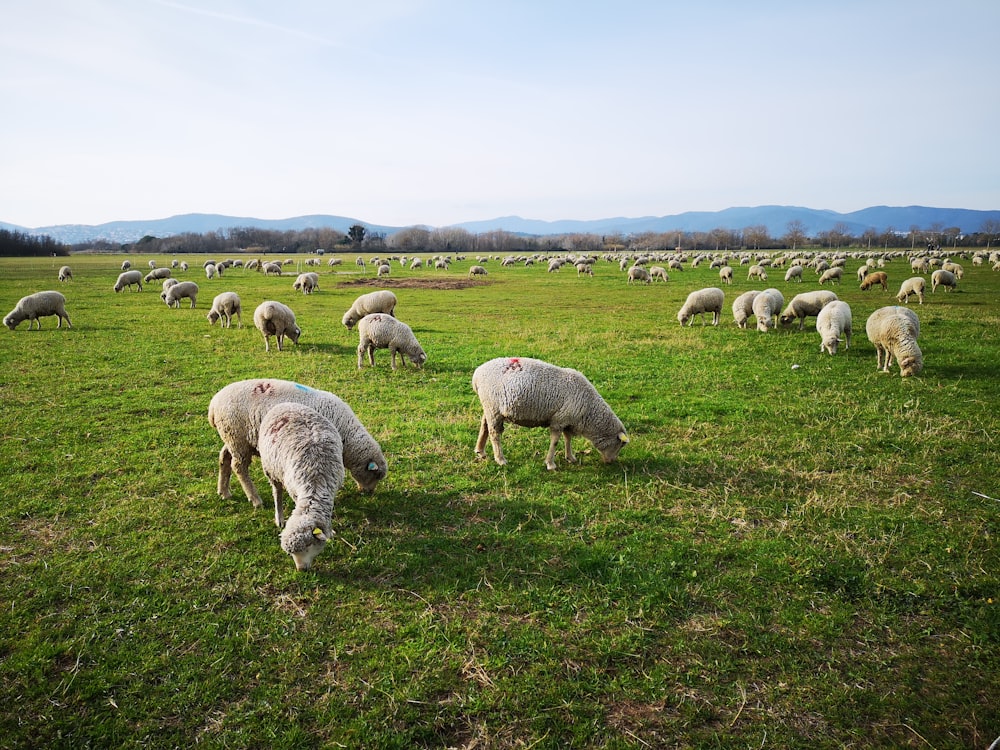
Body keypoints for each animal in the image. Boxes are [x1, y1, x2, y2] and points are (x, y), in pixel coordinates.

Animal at [207, 376, 386, 506]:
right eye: (375, 475)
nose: (369, 493)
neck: (346, 435)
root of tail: (213, 407)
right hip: (237, 438)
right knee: (239, 467)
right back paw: (255, 499)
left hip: (234, 439)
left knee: (224, 457)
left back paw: (224, 492)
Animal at [256, 406, 346, 568]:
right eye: (291, 554)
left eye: (310, 545)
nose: (301, 569)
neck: (316, 483)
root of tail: (283, 404)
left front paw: (331, 531)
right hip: (271, 470)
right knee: (277, 493)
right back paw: (279, 518)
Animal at [472, 356, 628, 472]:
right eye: (620, 445)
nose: (611, 462)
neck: (589, 411)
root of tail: (477, 375)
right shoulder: (558, 421)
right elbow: (555, 442)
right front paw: (550, 464)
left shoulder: (567, 420)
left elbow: (568, 439)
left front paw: (570, 457)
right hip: (493, 407)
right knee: (494, 433)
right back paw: (500, 459)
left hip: (489, 407)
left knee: (484, 425)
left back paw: (480, 451)